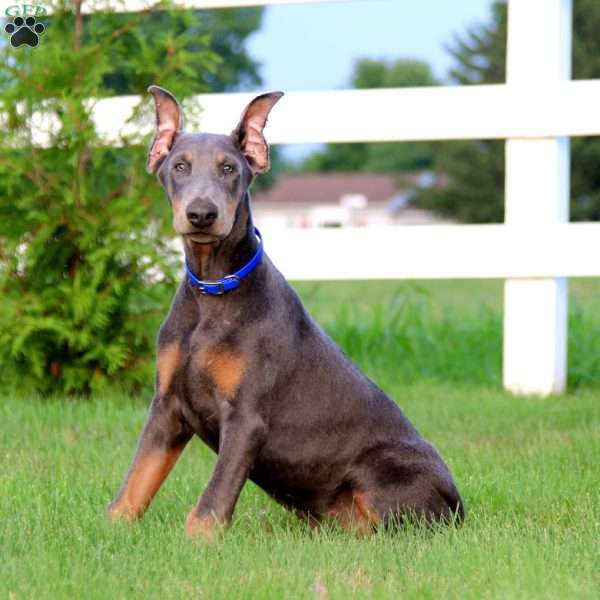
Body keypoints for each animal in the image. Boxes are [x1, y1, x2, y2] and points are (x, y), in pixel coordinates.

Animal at [108, 85, 464, 540]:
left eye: (229, 168)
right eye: (179, 167)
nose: (202, 214)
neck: (213, 289)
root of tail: (459, 506)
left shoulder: (246, 417)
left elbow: (214, 496)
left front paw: (197, 541)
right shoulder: (166, 407)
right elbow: (136, 481)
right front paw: (110, 529)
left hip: (385, 472)